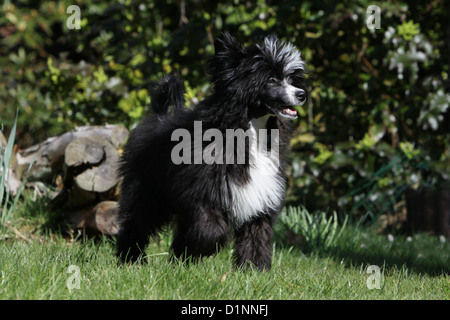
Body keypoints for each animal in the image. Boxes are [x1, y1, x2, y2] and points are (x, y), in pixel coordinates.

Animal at [116, 33, 308, 270]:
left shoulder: (261, 197)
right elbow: (211, 230)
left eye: (290, 79)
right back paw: (130, 259)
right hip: (146, 191)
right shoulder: (204, 192)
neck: (250, 131)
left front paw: (252, 269)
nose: (302, 94)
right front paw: (198, 251)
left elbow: (256, 235)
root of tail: (158, 115)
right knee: (136, 223)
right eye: (271, 79)